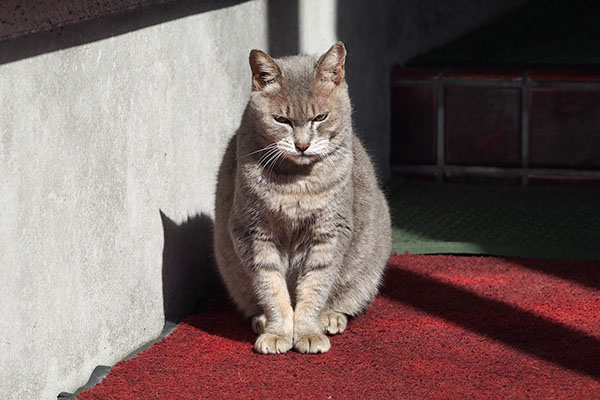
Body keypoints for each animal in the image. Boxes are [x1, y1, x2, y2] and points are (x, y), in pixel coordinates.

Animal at [213, 41, 392, 354]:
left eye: (320, 117)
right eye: (281, 120)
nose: (302, 145)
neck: (296, 183)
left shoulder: (329, 233)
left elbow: (315, 286)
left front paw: (308, 331)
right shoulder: (255, 233)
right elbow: (271, 288)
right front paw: (277, 332)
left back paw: (330, 318)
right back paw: (261, 320)